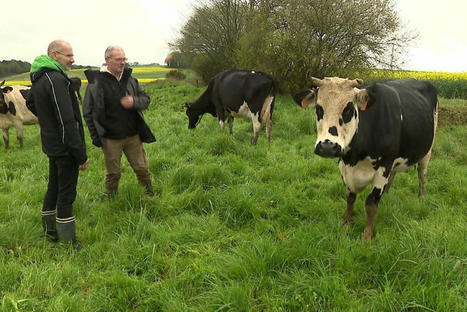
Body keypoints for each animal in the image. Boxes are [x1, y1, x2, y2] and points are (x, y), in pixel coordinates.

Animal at [294, 78, 440, 241]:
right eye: (319, 108)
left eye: (349, 109)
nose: (327, 147)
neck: (355, 157)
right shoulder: (344, 167)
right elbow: (350, 197)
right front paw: (346, 223)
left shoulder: (384, 166)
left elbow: (371, 204)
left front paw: (367, 235)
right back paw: (387, 194)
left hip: (427, 151)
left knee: (422, 175)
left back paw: (422, 197)